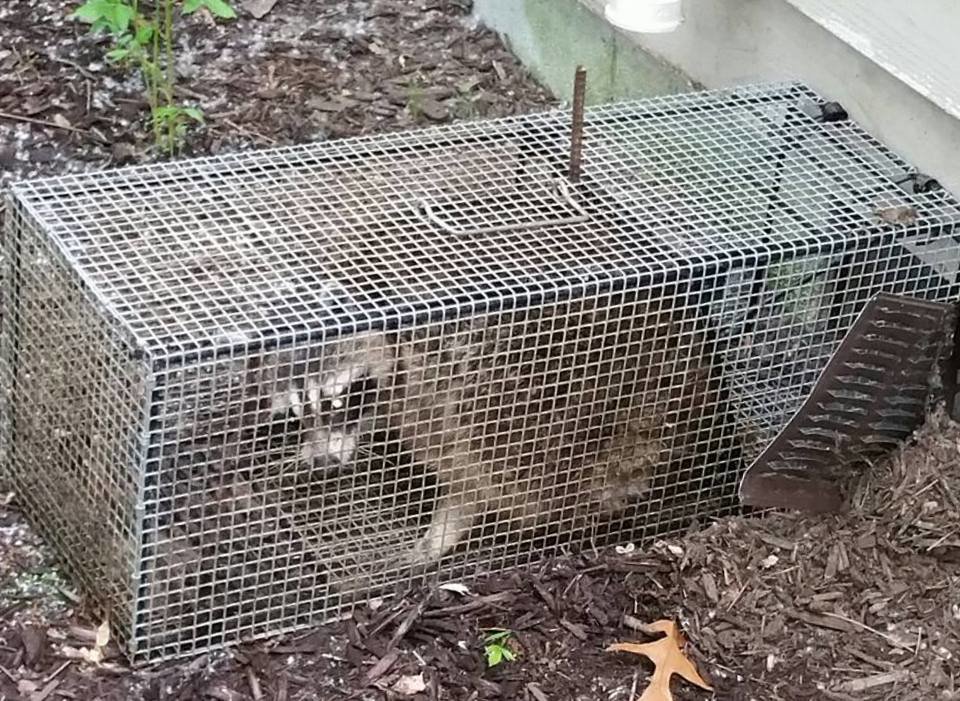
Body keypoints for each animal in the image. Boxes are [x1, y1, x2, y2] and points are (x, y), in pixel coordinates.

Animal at [251, 290, 717, 587]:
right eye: (297, 413)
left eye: (341, 399)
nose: (325, 462)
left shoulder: (440, 391)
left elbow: (470, 480)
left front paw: (441, 531)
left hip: (583, 418)